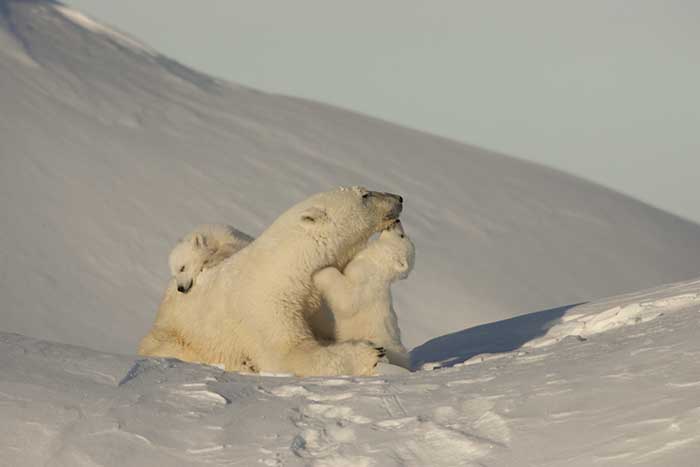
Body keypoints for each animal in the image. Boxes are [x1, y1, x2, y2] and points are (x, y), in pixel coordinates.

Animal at [139, 186, 402, 376]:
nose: (399, 198)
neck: (293, 264)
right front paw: (371, 352)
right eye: (365, 194)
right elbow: (289, 354)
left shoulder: (319, 299)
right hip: (173, 334)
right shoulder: (267, 303)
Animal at [314, 221, 416, 372]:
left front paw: (319, 272)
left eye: (402, 236)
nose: (397, 221)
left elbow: (346, 299)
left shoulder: (364, 283)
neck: (378, 265)